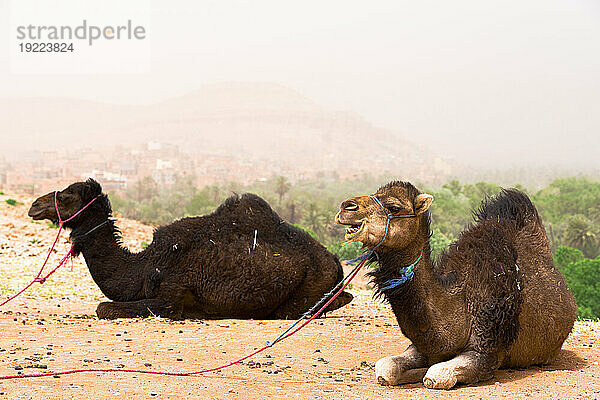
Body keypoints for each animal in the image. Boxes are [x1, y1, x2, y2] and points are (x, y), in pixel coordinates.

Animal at [28, 178, 354, 318]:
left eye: (66, 197)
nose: (34, 205)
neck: (143, 265)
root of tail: (337, 264)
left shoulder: (170, 298)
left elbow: (103, 307)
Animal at [338, 181, 576, 388]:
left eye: (393, 207)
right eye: (375, 194)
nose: (346, 207)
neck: (459, 301)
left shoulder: (487, 350)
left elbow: (436, 375)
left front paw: (426, 373)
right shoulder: (422, 346)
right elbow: (386, 368)